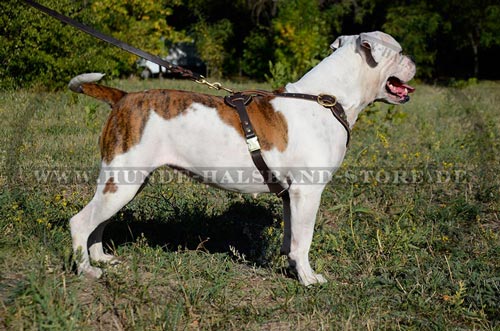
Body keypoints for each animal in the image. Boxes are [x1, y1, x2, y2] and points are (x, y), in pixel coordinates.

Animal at [68, 31, 416, 286]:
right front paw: (308, 278)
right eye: (399, 52)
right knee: (80, 222)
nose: (413, 62)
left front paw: (291, 266)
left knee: (98, 220)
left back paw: (100, 258)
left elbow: (291, 237)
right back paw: (87, 270)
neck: (326, 99)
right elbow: (304, 239)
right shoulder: (308, 192)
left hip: (124, 181)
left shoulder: (292, 195)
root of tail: (123, 97)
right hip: (123, 180)